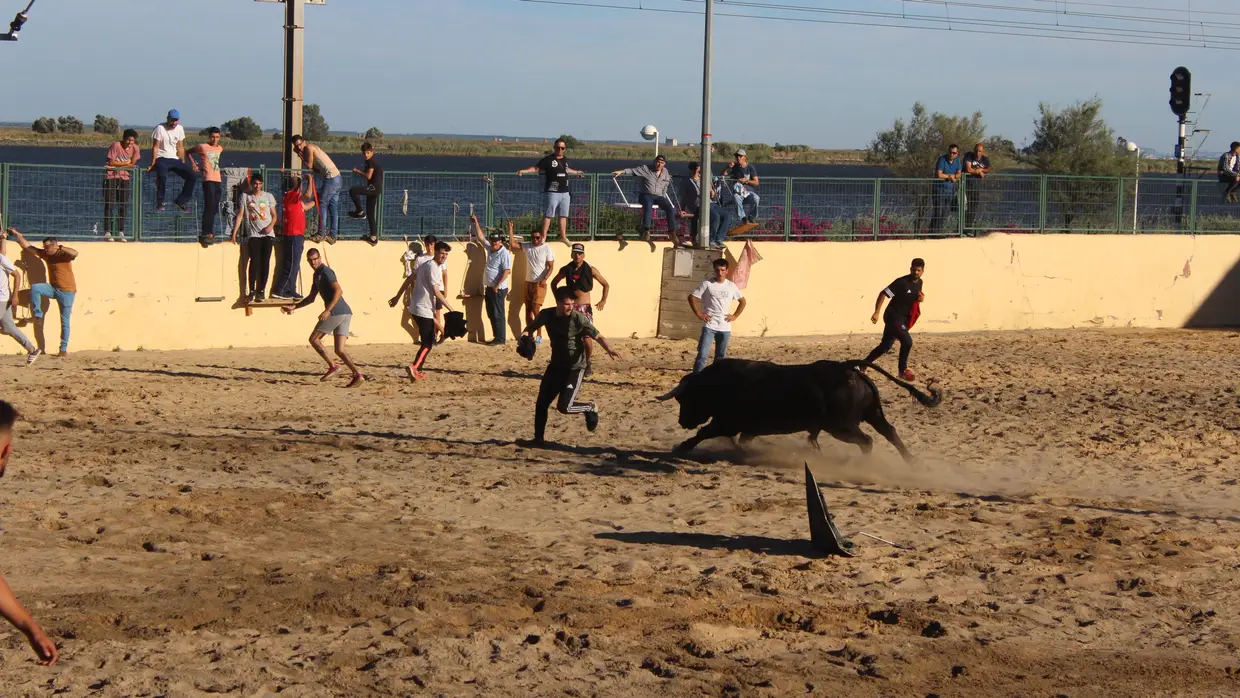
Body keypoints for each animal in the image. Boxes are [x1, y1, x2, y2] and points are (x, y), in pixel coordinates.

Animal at [659, 357, 937, 461]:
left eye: (686, 400)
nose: (683, 422)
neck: (719, 383)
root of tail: (848, 367)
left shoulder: (726, 422)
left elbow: (704, 432)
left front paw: (681, 447)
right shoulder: (745, 428)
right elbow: (742, 440)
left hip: (842, 427)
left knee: (867, 440)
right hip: (872, 414)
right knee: (889, 432)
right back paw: (912, 462)